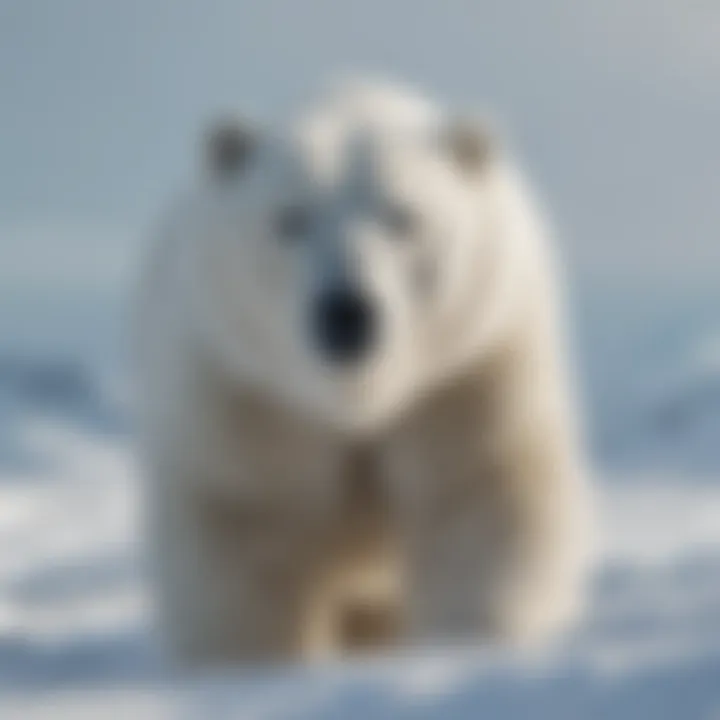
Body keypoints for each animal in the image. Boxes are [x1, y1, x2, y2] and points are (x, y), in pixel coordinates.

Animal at [132, 80, 592, 668]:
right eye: (292, 218)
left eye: (402, 216)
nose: (347, 312)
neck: (356, 401)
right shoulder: (245, 400)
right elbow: (246, 534)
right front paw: (260, 666)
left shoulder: (466, 376)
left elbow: (479, 501)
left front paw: (465, 644)